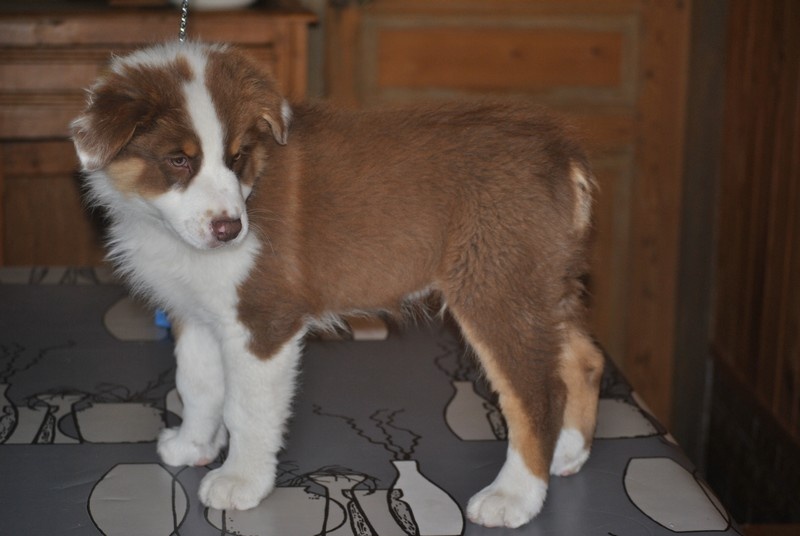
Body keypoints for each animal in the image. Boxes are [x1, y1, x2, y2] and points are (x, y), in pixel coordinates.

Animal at [71, 41, 604, 529]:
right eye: (178, 161)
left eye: (238, 155)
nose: (230, 230)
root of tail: (562, 152)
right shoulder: (196, 312)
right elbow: (198, 386)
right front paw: (192, 445)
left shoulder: (264, 321)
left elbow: (247, 409)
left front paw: (241, 481)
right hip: (537, 280)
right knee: (582, 359)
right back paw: (567, 454)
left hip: (495, 283)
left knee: (536, 394)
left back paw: (514, 497)